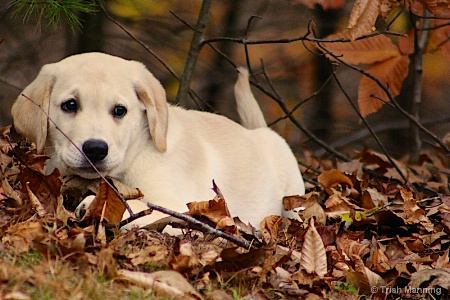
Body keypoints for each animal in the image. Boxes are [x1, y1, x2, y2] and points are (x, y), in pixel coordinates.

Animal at [11, 52, 306, 230]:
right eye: (70, 105)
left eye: (120, 110)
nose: (95, 149)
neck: (134, 153)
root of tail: (259, 132)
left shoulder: (177, 206)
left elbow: (139, 207)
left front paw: (92, 206)